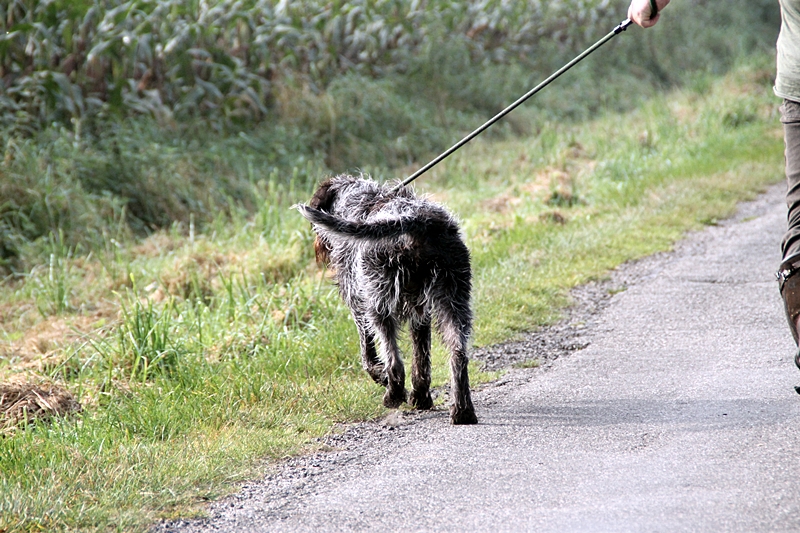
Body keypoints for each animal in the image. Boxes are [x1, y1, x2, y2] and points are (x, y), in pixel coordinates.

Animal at [296, 175, 478, 424]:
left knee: (394, 360)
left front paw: (381, 376)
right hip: (454, 299)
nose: (317, 245)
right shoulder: (420, 313)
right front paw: (421, 397)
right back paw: (462, 411)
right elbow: (421, 360)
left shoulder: (358, 304)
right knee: (458, 354)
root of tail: (414, 221)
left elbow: (368, 356)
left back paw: (393, 394)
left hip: (378, 304)